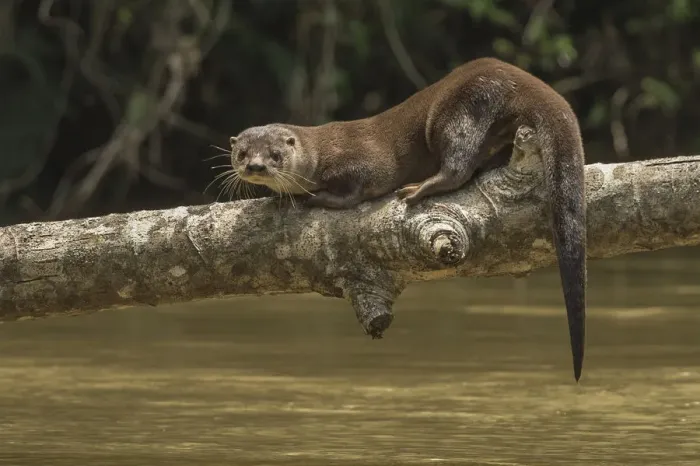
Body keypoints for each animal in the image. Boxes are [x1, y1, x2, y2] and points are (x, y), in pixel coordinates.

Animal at [228, 57, 586, 382]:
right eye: (241, 153)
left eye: (275, 154)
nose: (256, 166)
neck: (321, 154)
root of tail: (514, 74)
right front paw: (280, 199)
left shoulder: (364, 162)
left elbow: (358, 189)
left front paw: (318, 198)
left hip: (460, 110)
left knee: (458, 162)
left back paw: (419, 188)